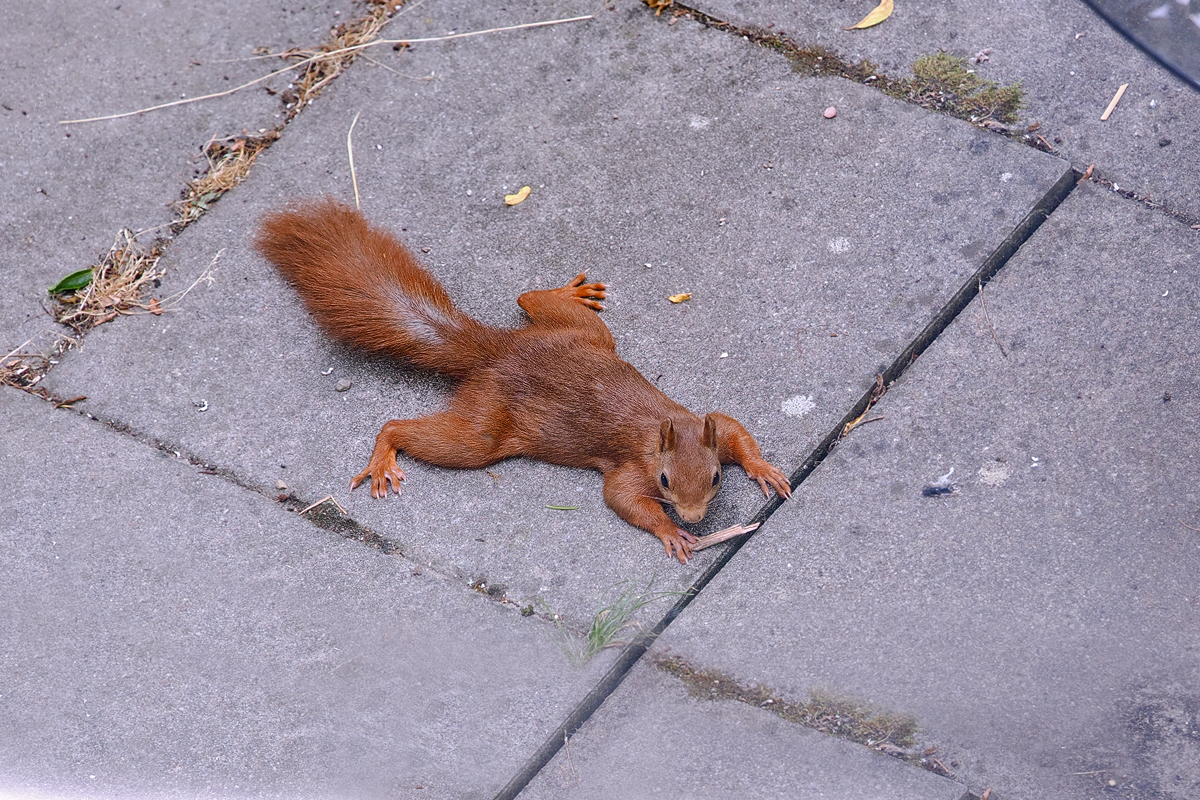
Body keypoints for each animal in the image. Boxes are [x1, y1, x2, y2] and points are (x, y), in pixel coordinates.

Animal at [254, 199, 791, 563]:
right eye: (663, 480)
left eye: (717, 478)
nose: (697, 518)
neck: (666, 431)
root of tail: (498, 350)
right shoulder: (630, 466)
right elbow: (621, 498)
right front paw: (671, 531)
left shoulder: (707, 423)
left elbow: (734, 430)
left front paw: (764, 468)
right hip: (485, 426)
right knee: (408, 428)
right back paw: (385, 454)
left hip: (585, 335)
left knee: (529, 298)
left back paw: (567, 292)